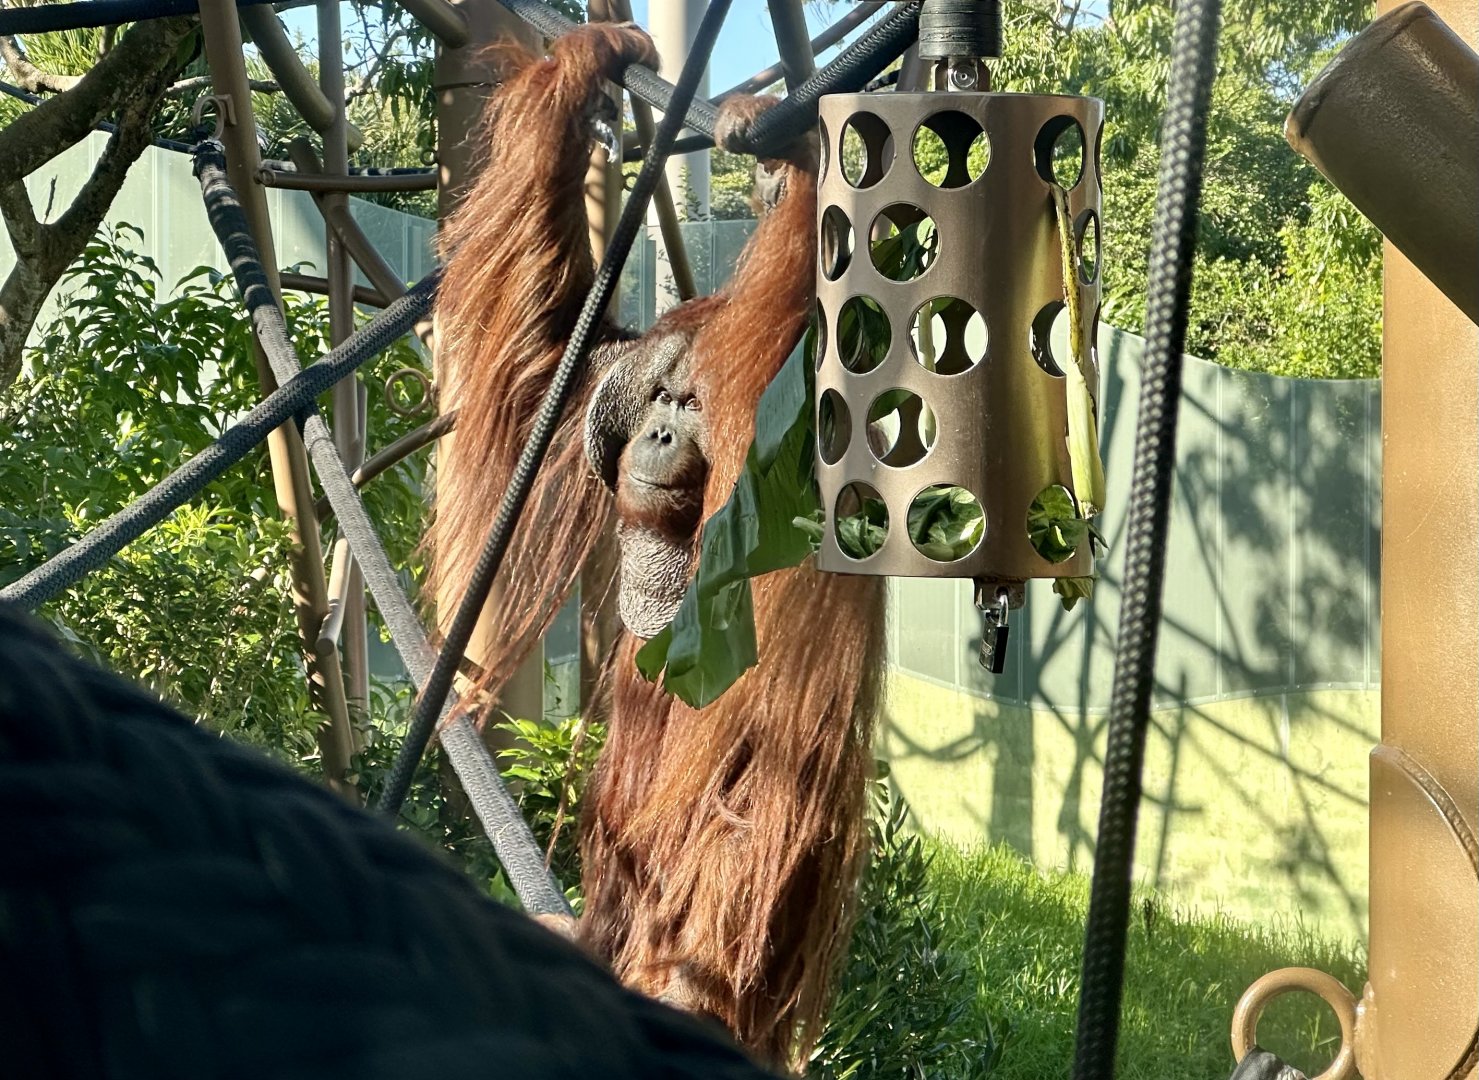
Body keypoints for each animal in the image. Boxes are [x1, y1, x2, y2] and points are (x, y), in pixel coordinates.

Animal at [427, 23, 887, 1073]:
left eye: (691, 406)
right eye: (661, 397)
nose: (662, 434)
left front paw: (783, 151)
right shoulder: (601, 376)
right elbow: (541, 358)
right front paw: (594, 61)